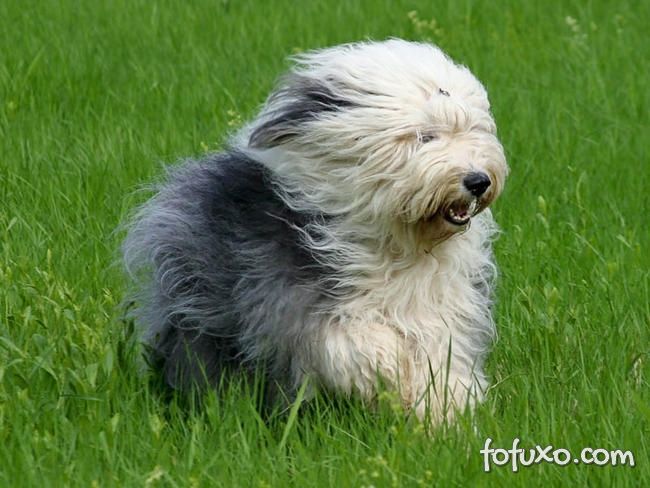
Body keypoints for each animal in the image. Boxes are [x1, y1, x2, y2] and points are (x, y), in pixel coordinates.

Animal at [121, 40, 506, 426]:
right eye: (424, 136)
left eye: (472, 130)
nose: (478, 181)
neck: (397, 244)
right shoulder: (283, 296)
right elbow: (342, 337)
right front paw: (389, 372)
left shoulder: (441, 303)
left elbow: (438, 354)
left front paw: (444, 415)